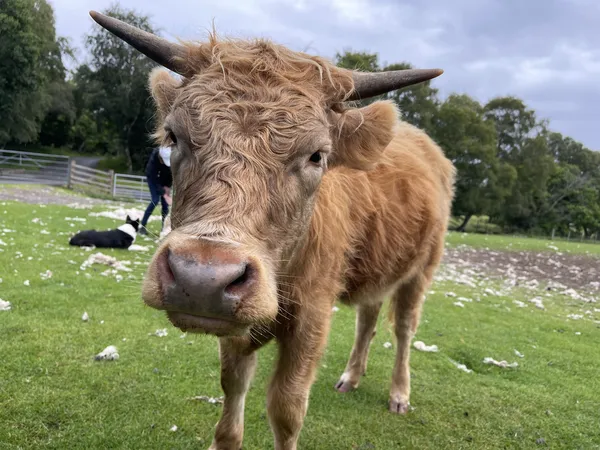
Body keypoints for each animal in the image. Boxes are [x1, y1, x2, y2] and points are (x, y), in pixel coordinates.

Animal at [89, 10, 454, 450]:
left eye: (317, 155)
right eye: (174, 136)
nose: (202, 278)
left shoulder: (312, 316)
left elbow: (286, 407)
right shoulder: (235, 326)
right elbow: (232, 390)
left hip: (421, 271)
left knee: (403, 328)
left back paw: (399, 393)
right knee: (368, 317)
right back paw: (351, 376)